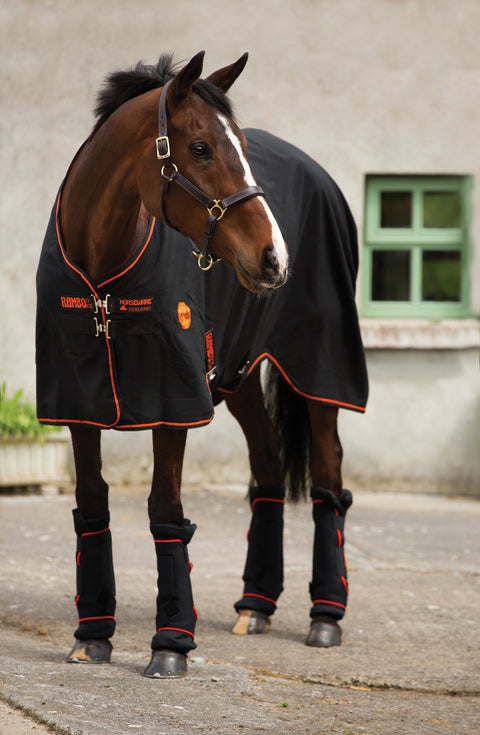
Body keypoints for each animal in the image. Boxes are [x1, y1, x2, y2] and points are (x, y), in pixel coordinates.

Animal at [35, 51, 368, 678]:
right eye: (200, 148)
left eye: (242, 143)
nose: (274, 257)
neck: (102, 277)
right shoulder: (78, 402)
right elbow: (91, 504)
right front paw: (92, 636)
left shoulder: (173, 401)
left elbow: (166, 510)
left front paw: (170, 644)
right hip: (237, 373)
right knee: (267, 463)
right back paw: (256, 606)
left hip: (319, 366)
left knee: (329, 473)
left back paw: (326, 615)